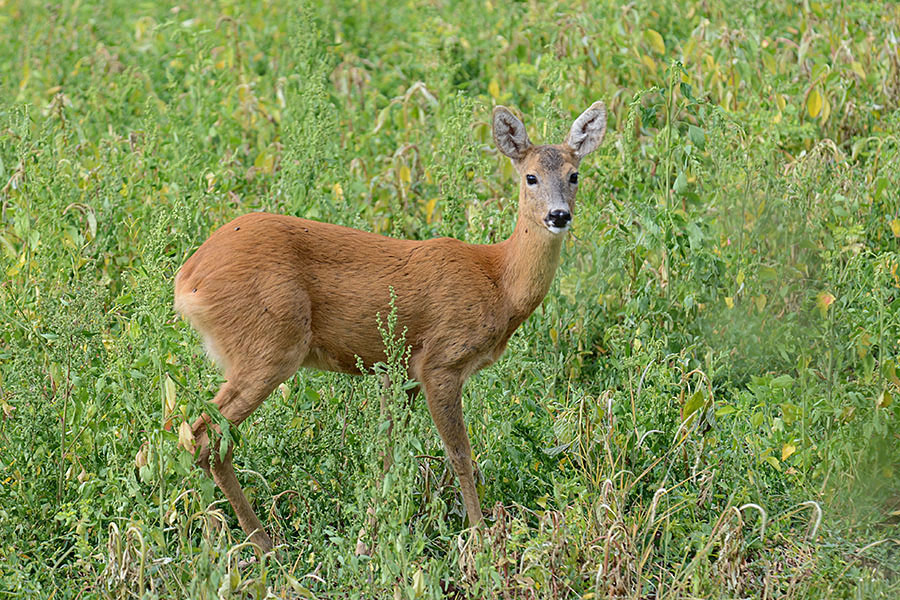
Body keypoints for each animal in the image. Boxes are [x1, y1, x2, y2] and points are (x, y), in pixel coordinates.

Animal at [172, 99, 608, 552]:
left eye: (574, 174)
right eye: (530, 176)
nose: (559, 215)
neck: (498, 281)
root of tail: (187, 279)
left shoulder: (400, 372)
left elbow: (387, 453)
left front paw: (367, 541)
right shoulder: (441, 361)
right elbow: (459, 454)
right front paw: (479, 538)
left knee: (194, 436)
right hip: (267, 346)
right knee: (205, 438)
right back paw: (262, 546)